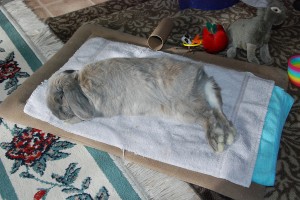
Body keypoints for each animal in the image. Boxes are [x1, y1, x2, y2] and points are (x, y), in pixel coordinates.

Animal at [47, 57, 237, 152]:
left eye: (60, 98)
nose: (56, 116)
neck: (79, 84)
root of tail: (201, 78)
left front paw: (67, 122)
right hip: (207, 98)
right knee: (220, 114)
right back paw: (229, 136)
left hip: (186, 108)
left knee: (209, 117)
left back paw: (216, 144)